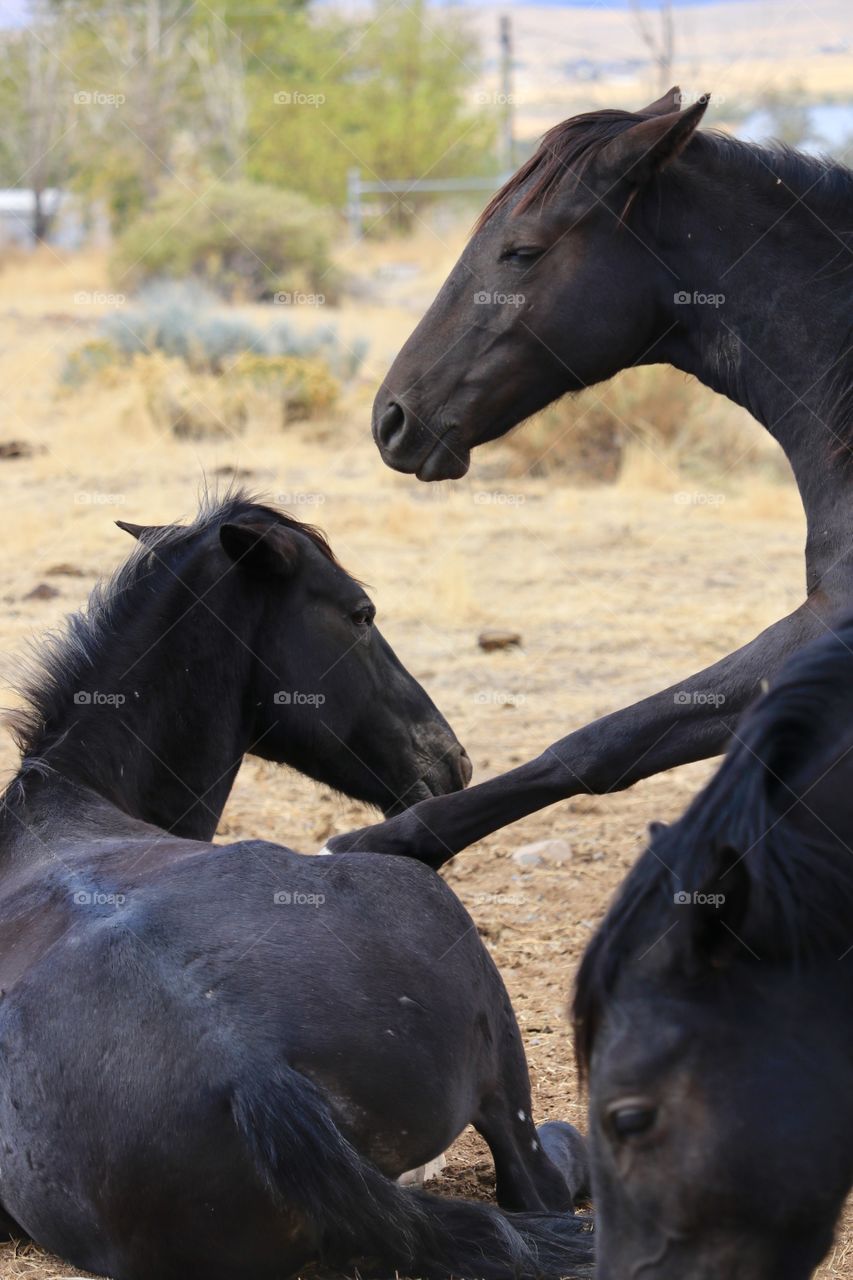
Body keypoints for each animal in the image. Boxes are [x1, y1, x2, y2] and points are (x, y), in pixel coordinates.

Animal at [0, 491, 589, 1280]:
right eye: (361, 613)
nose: (453, 762)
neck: (53, 803)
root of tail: (254, 1073)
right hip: (500, 1064)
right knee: (542, 1177)